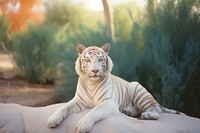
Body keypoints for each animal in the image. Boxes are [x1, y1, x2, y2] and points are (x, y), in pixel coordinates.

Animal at [47, 44, 183, 133]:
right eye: (88, 60)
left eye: (100, 59)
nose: (95, 71)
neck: (91, 83)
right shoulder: (79, 101)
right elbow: (63, 107)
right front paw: (52, 120)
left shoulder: (109, 103)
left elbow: (94, 111)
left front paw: (82, 125)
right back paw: (127, 111)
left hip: (136, 88)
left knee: (155, 111)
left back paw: (147, 115)